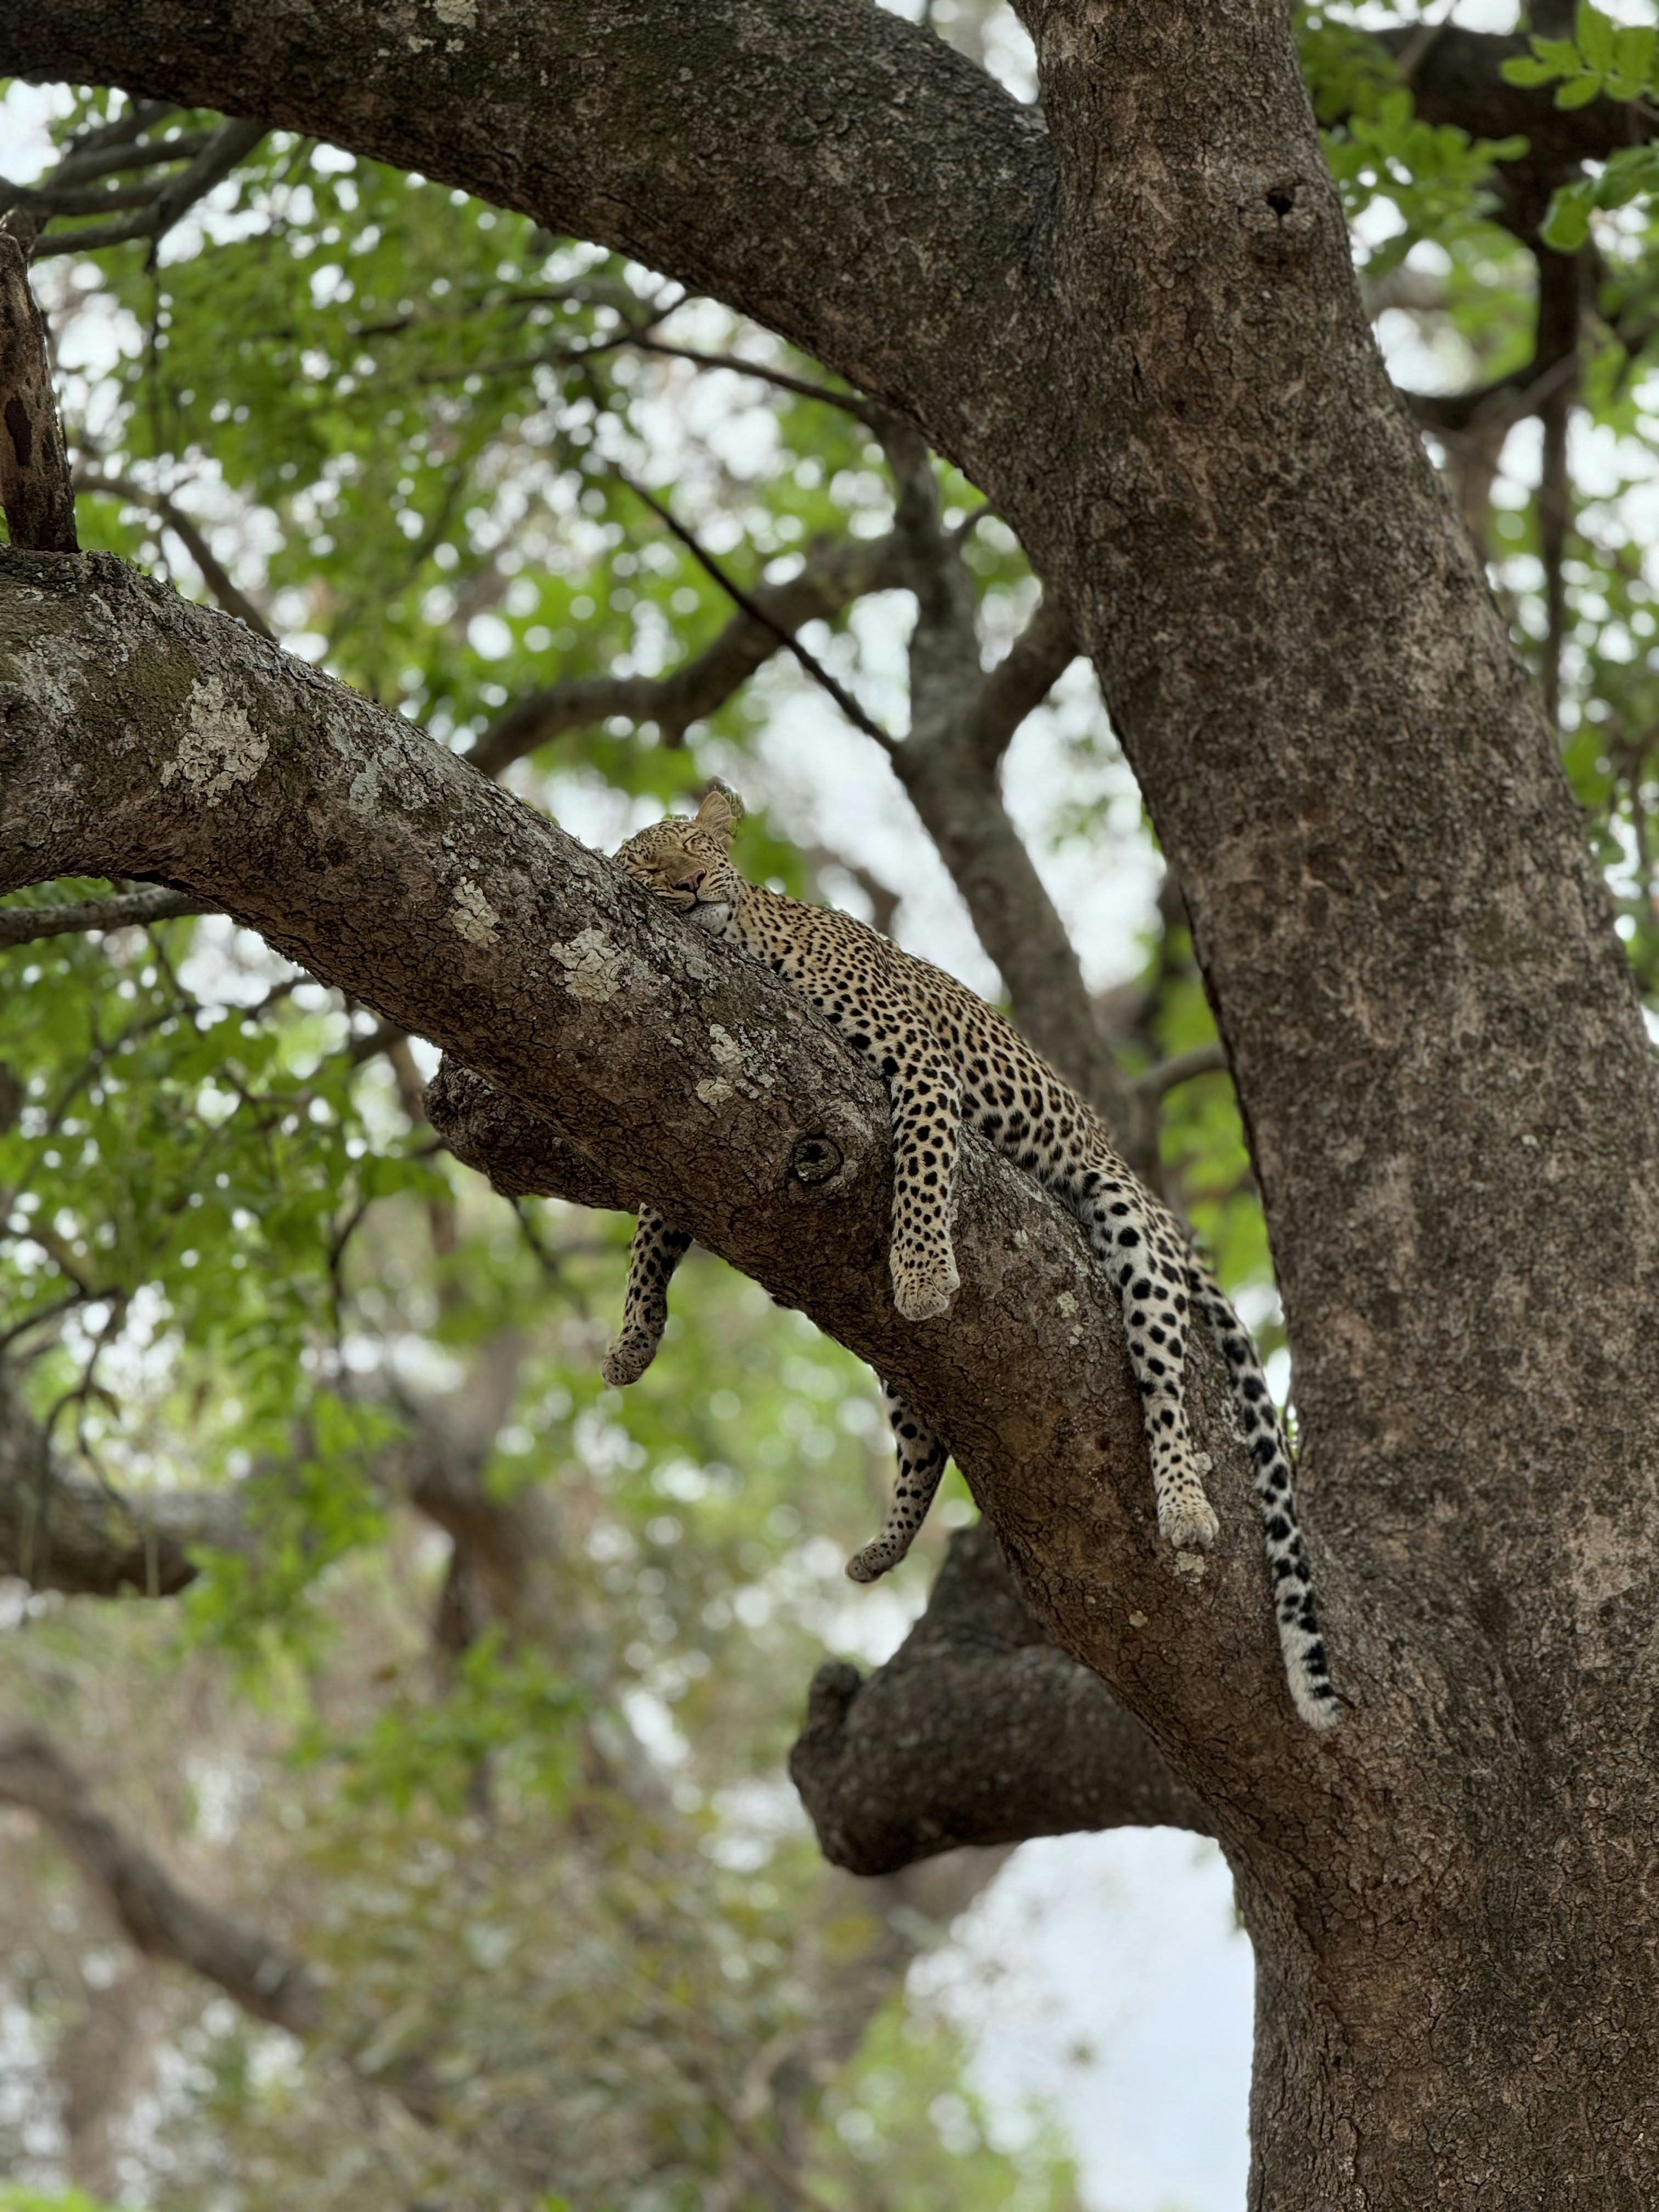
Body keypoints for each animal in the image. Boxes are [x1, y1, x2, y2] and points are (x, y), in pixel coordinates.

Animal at [597, 778, 1336, 1725]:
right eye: (650, 868)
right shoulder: (688, 1123)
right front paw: (632, 1338)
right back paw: (883, 1545)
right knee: (925, 1440)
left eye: (698, 850)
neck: (752, 938)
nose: (689, 885)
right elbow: (652, 1230)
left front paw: (921, 1274)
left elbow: (922, 1170)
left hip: (1127, 1222)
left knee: (1165, 1376)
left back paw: (1185, 1503)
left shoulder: (917, 1063)